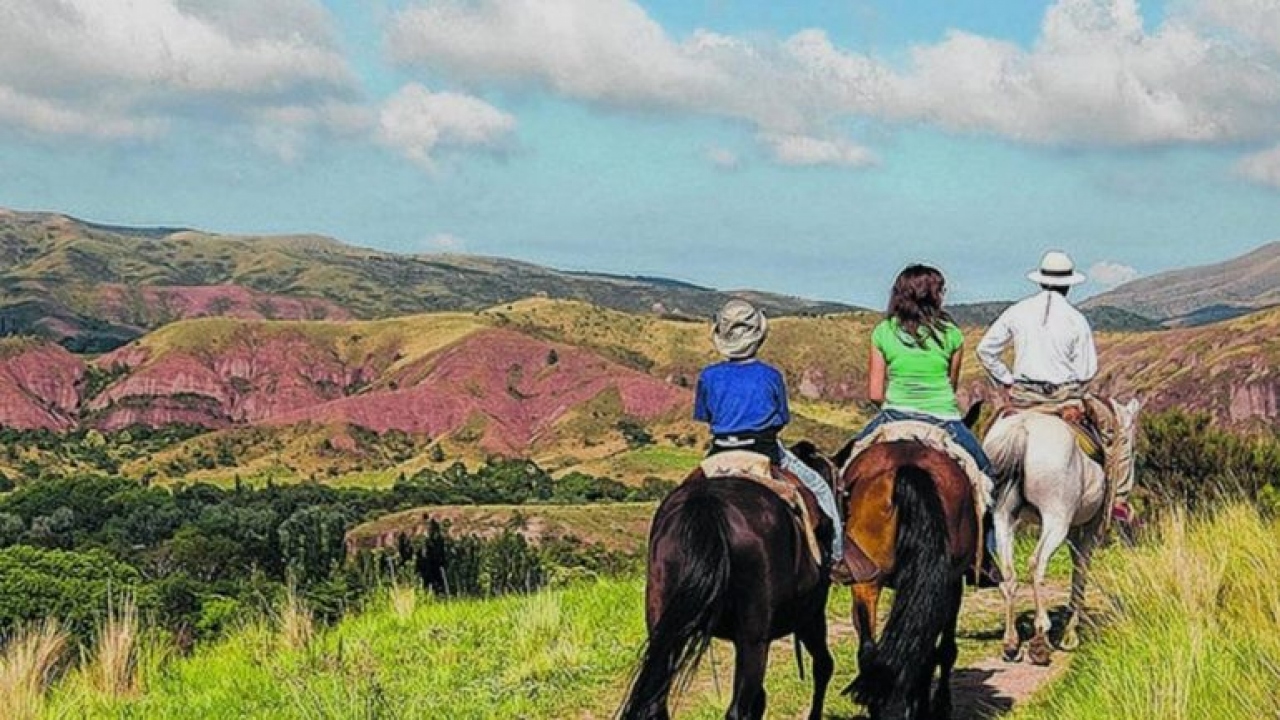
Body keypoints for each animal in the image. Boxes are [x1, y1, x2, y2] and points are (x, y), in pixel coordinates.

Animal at [619, 443, 839, 717]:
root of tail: (707, 505)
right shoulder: (811, 615)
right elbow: (823, 666)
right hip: (755, 640)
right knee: (738, 709)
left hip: (664, 624)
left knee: (655, 704)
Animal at [834, 430, 983, 717]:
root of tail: (906, 469)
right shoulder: (953, 584)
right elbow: (945, 650)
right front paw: (941, 704)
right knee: (925, 653)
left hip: (866, 582)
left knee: (868, 652)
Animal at [977, 394, 1141, 666]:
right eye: (1132, 447)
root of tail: (1023, 429)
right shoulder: (1087, 529)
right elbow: (1081, 569)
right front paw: (1070, 633)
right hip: (1056, 520)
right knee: (1037, 564)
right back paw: (1040, 639)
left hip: (1003, 518)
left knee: (1009, 574)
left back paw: (1011, 644)